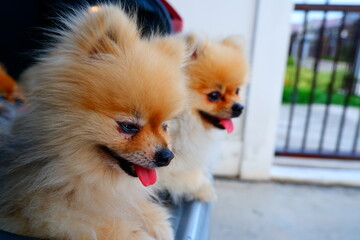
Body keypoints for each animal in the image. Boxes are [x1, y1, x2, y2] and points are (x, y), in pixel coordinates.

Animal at [0, 4, 188, 240]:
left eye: (165, 126)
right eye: (128, 126)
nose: (167, 156)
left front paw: (159, 222)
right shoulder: (45, 211)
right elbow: (103, 225)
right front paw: (139, 233)